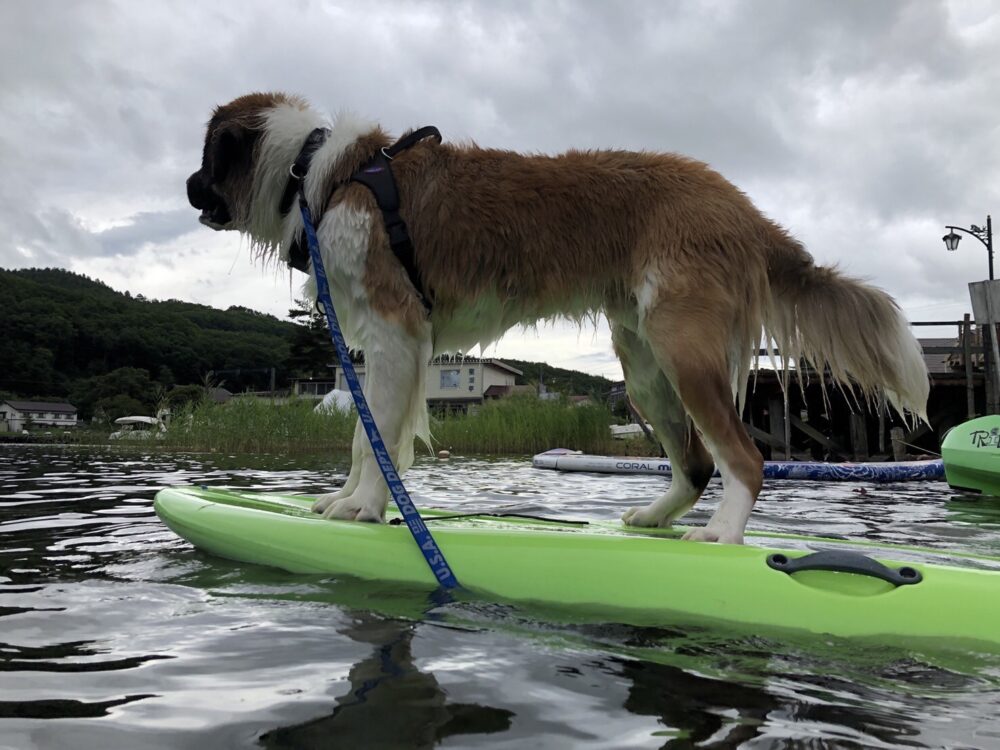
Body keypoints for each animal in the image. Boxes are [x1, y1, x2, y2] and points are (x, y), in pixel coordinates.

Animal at [188, 92, 928, 548]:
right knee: (693, 462)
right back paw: (653, 518)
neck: (323, 171)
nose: (187, 187)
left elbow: (376, 442)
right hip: (643, 367)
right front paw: (348, 502)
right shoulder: (383, 348)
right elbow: (365, 437)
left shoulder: (398, 335)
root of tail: (736, 201)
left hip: (683, 351)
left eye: (205, 158)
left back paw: (723, 535)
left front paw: (362, 509)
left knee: (743, 456)